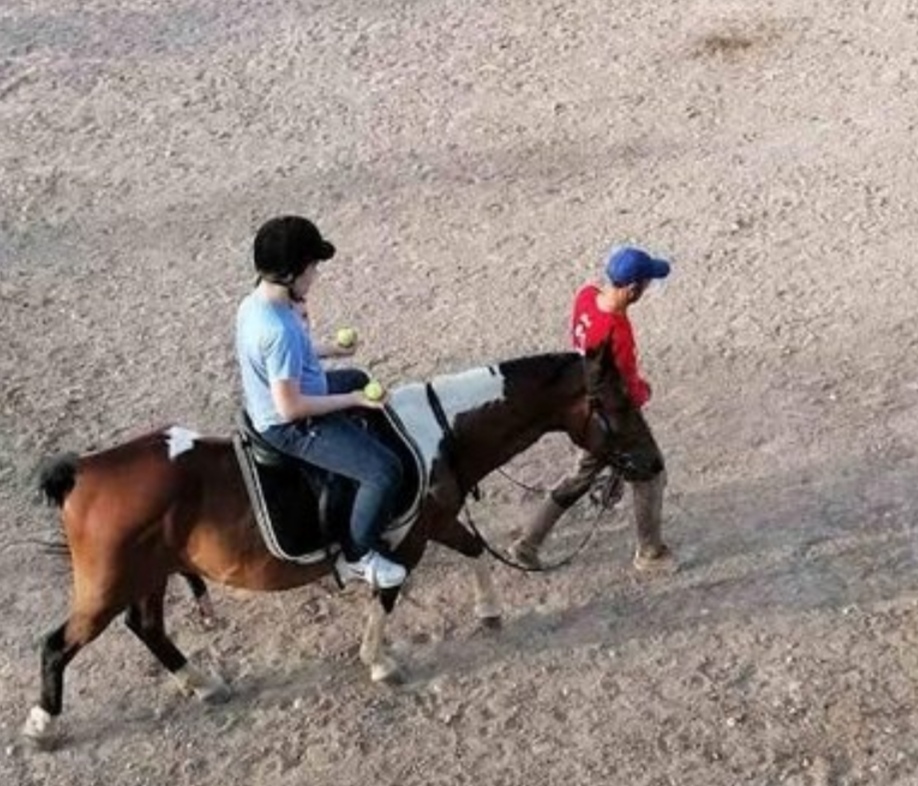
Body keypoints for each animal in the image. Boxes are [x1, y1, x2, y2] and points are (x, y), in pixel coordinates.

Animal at [21, 351, 665, 746]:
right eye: (619, 405)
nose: (653, 463)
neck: (438, 435)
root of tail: (87, 470)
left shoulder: (435, 522)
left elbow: (477, 554)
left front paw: (488, 612)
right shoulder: (407, 541)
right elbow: (388, 596)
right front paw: (379, 662)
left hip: (150, 574)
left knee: (148, 626)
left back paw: (201, 684)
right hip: (106, 584)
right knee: (58, 644)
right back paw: (42, 722)